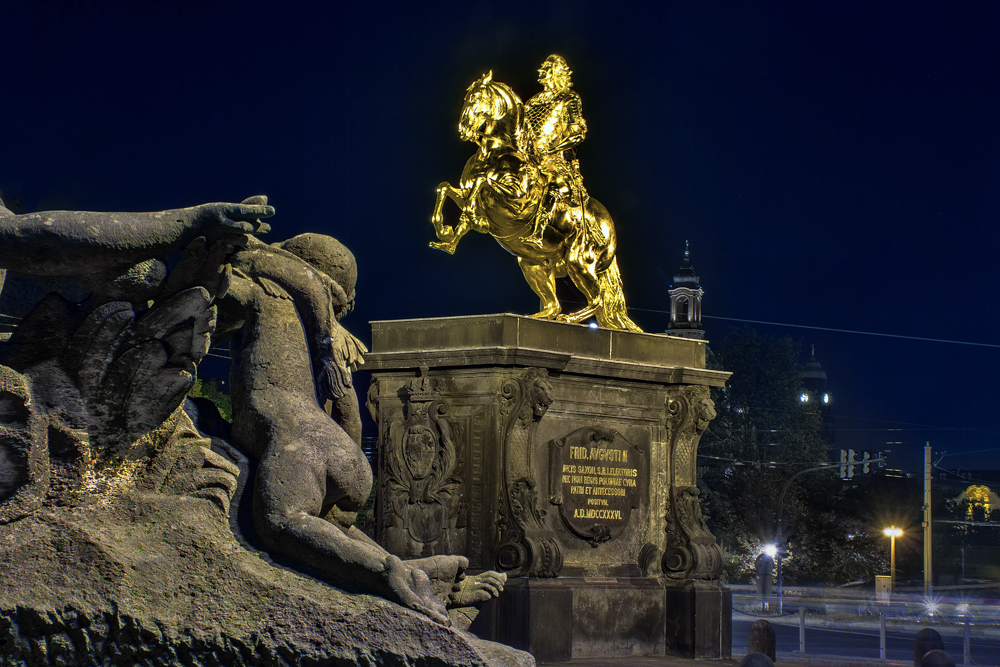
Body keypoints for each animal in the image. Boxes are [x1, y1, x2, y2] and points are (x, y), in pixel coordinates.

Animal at [430, 73, 640, 334]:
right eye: (467, 97)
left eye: (477, 98)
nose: (463, 130)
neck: (496, 153)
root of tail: (608, 226)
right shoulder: (464, 191)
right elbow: (445, 188)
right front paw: (446, 233)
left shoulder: (518, 201)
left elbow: (484, 182)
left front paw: (474, 219)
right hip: (532, 263)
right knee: (554, 305)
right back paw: (538, 317)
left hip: (579, 261)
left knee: (597, 299)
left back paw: (569, 319)